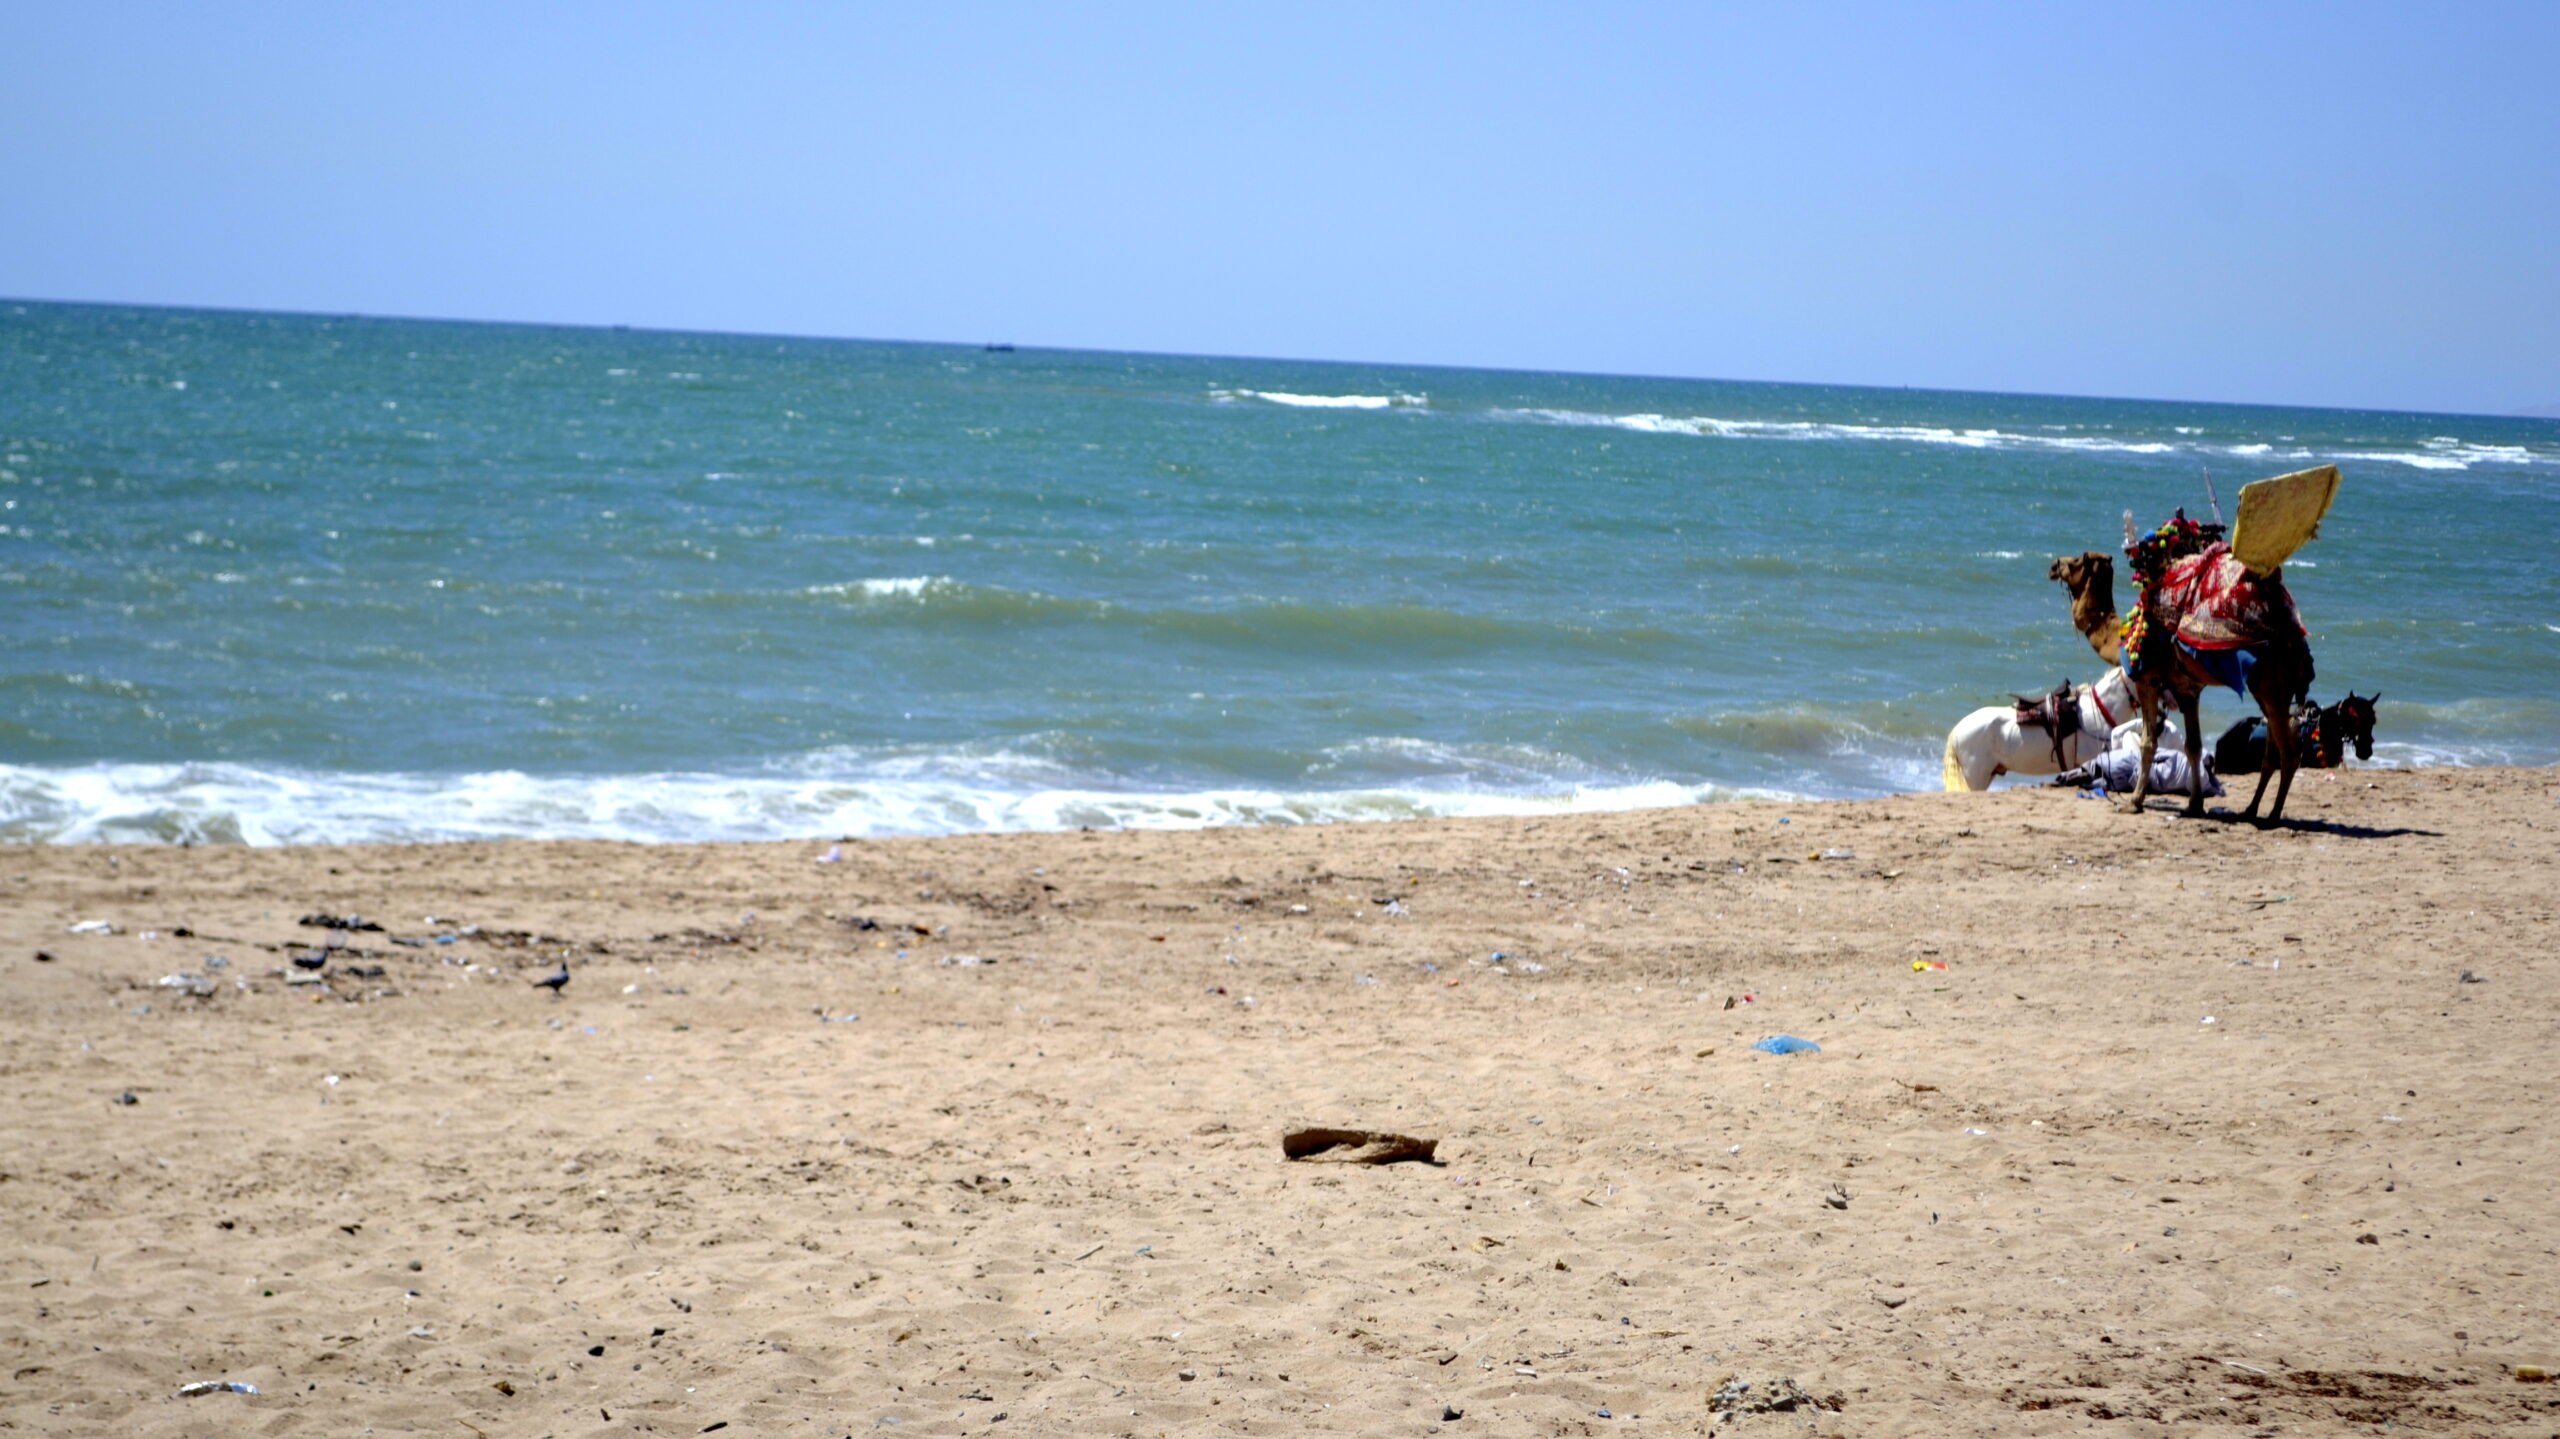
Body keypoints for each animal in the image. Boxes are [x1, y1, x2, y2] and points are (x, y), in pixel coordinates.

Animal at [2048, 550, 2316, 826]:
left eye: (2077, 561)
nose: (2054, 566)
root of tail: (2296, 639)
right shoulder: (2187, 690)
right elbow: (2193, 746)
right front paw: (2195, 805)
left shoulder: (2147, 680)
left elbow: (2148, 743)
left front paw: (2134, 802)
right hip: (2266, 689)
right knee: (2271, 753)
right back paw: (2251, 810)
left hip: (2271, 685)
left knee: (2289, 753)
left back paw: (2273, 816)